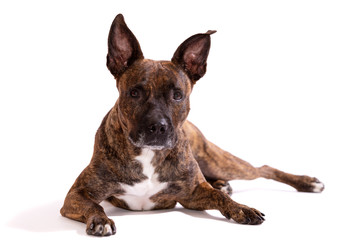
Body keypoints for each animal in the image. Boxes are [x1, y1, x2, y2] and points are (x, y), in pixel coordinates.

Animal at [60, 14, 324, 236]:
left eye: (177, 95)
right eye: (134, 93)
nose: (158, 127)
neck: (148, 155)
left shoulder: (192, 195)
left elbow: (220, 198)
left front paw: (242, 208)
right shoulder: (76, 195)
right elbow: (94, 205)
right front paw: (100, 219)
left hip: (221, 161)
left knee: (264, 168)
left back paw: (306, 182)